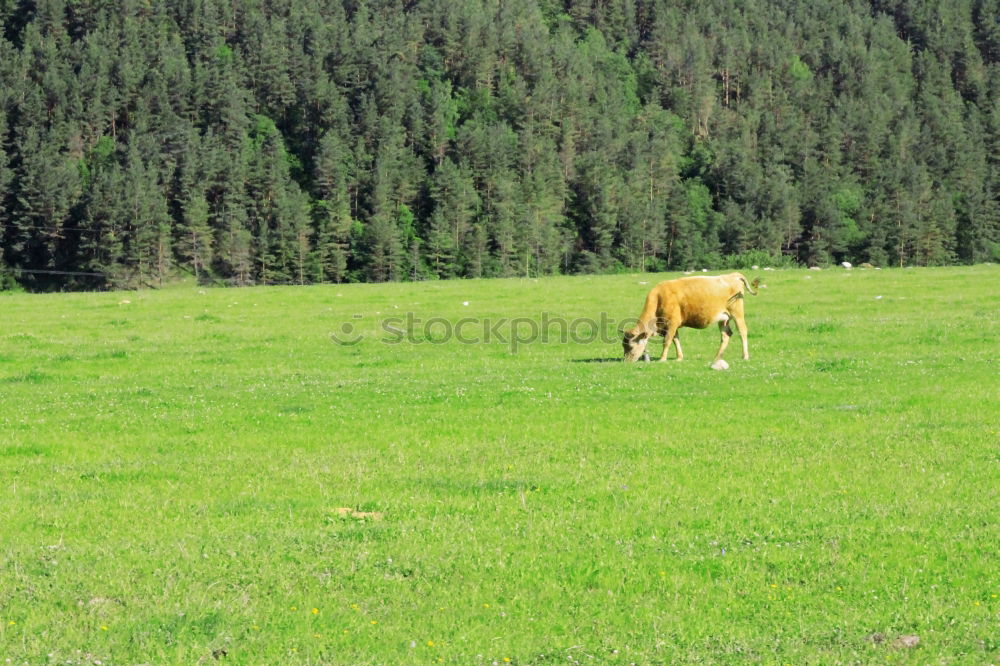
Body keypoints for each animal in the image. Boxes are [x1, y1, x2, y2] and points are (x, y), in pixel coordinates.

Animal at [624, 272, 756, 364]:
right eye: (623, 346)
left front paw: (662, 358)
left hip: (737, 313)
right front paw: (679, 357)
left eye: (630, 346)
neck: (658, 298)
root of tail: (733, 275)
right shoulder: (673, 326)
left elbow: (667, 341)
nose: (626, 361)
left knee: (742, 331)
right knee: (726, 336)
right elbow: (676, 340)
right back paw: (717, 357)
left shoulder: (672, 323)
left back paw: (745, 356)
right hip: (723, 319)